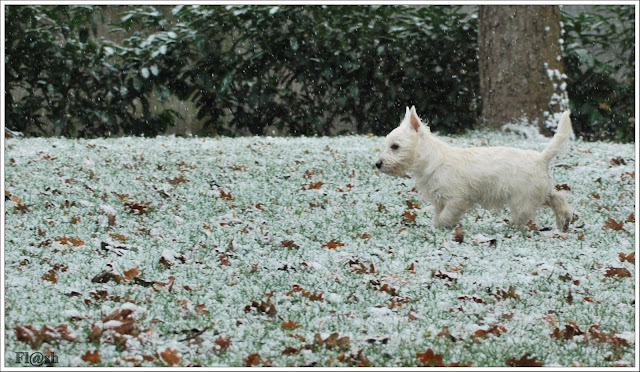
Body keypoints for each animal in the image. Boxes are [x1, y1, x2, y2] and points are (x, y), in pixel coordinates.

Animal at [378, 106, 572, 231]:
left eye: (395, 146)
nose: (377, 164)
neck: (432, 160)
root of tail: (541, 158)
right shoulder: (440, 199)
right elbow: (439, 214)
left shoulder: (457, 199)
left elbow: (445, 216)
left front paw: (442, 226)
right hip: (539, 192)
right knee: (558, 198)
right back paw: (564, 221)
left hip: (522, 199)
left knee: (528, 215)